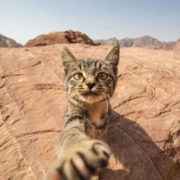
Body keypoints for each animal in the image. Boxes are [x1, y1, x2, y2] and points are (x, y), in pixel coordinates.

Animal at [43, 43, 119, 180]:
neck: (93, 109)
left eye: (102, 75)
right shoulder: (73, 118)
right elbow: (71, 134)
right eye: (77, 75)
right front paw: (76, 153)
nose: (90, 84)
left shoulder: (102, 131)